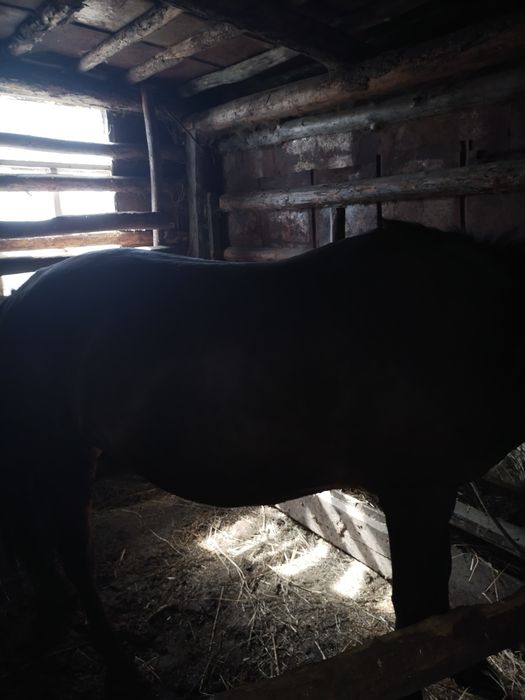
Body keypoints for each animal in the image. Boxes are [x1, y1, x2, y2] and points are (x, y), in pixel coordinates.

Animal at [0, 220, 523, 699]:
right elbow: (415, 601)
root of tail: (21, 297)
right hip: (60, 452)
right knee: (72, 552)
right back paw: (120, 669)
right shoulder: (415, 491)